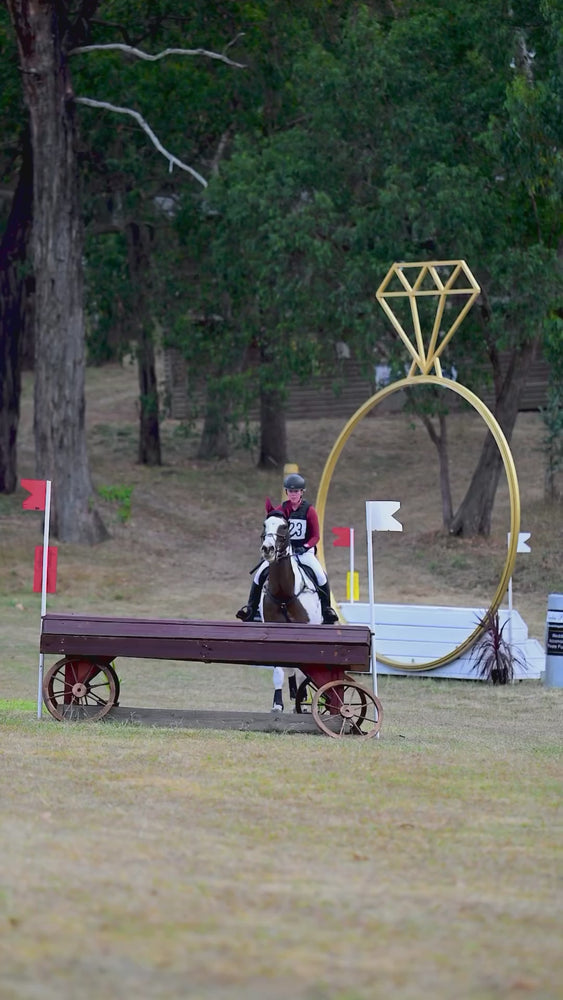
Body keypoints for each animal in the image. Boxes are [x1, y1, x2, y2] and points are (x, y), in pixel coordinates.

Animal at [260, 512, 322, 716]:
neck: (284, 593)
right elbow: (280, 670)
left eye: (285, 526)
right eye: (265, 525)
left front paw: (304, 702)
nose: (268, 549)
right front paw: (277, 704)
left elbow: (304, 670)